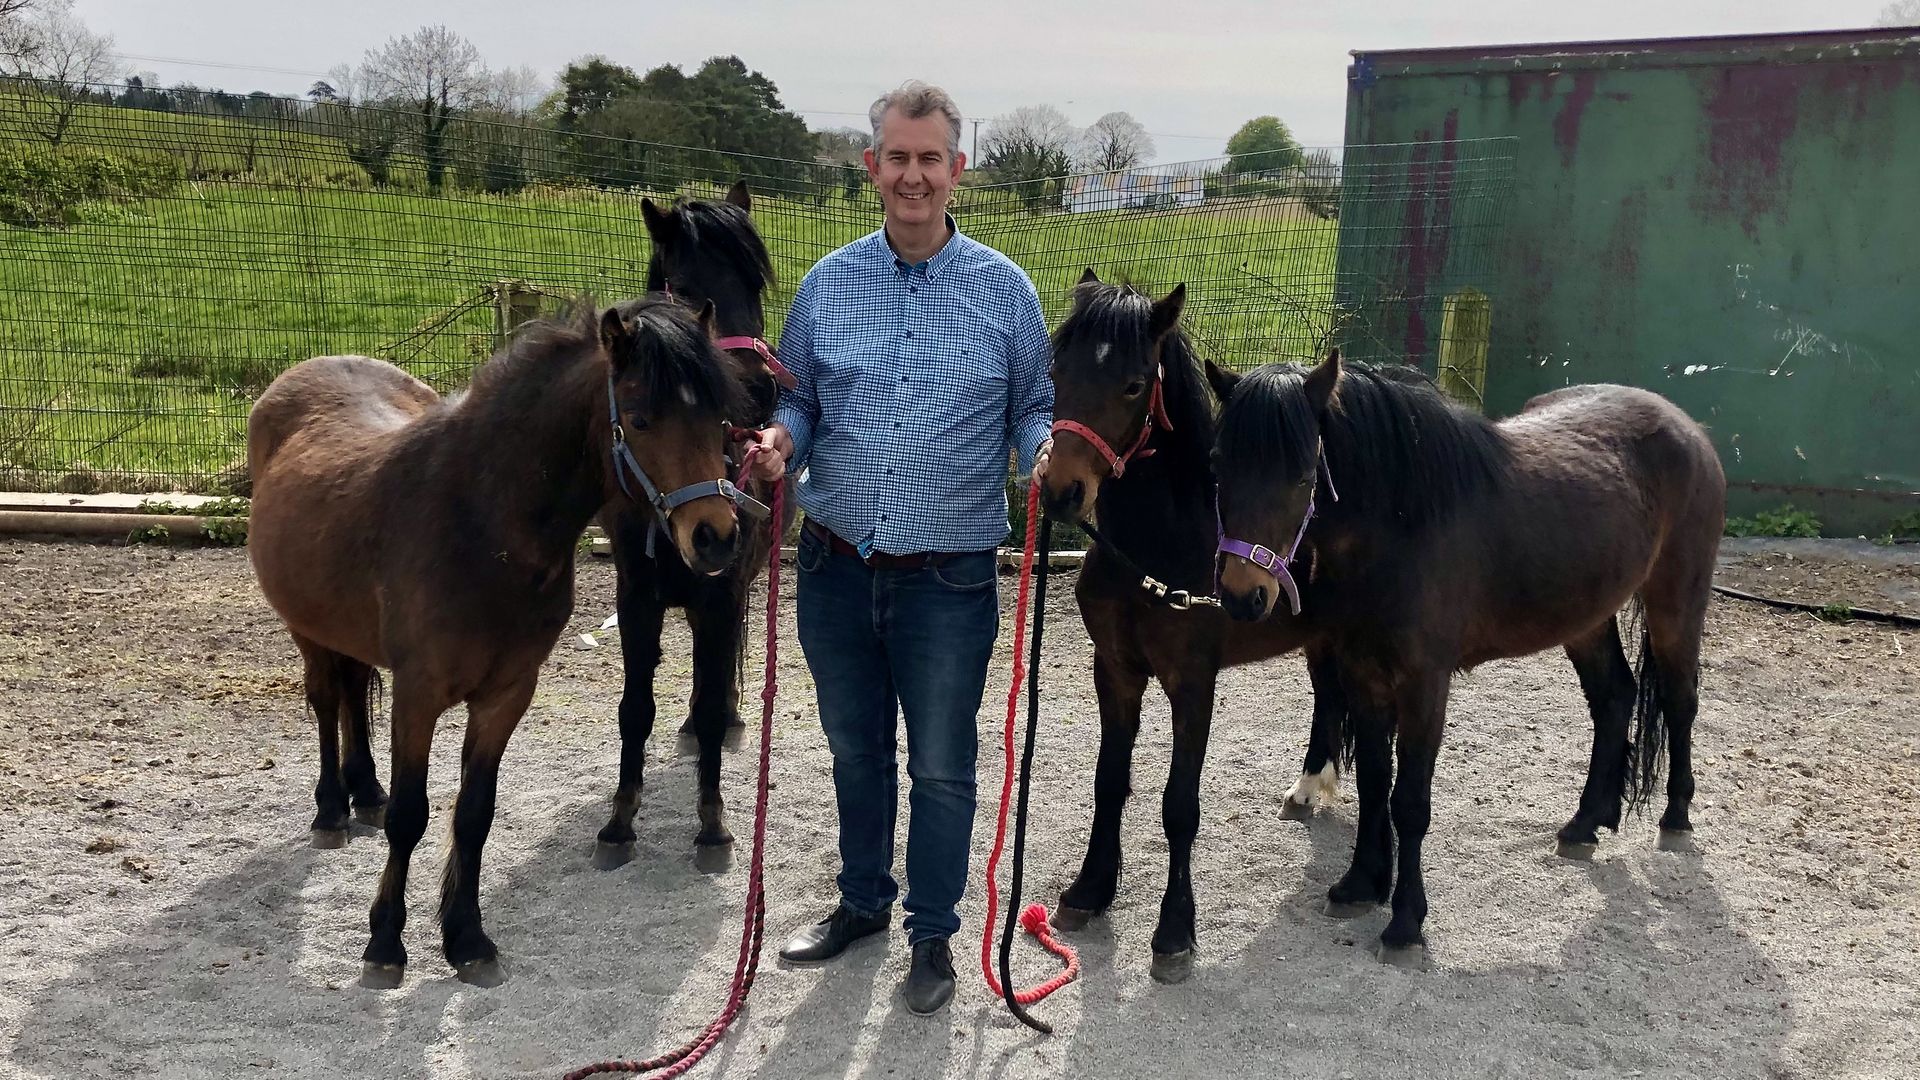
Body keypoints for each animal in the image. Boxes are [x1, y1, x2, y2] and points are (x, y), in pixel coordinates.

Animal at [253, 294, 756, 983]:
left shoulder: (506, 694)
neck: (482, 528)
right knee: (330, 699)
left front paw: (466, 937)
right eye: (641, 419)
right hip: (306, 627)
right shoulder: (419, 694)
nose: (716, 537)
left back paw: (364, 792)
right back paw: (333, 806)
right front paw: (386, 943)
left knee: (353, 693)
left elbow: (475, 814)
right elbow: (412, 817)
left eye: (720, 420)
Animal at [587, 178, 791, 864]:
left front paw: (712, 822)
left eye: (754, 284)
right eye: (680, 282)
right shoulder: (637, 598)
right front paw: (620, 820)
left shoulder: (722, 592)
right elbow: (634, 708)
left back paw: (725, 715)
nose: (756, 390)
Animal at [1036, 272, 1351, 980]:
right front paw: (1089, 890)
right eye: (1057, 368)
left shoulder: (1192, 683)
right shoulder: (1115, 671)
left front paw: (1175, 930)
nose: (1061, 492)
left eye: (1133, 384)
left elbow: (1180, 806)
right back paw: (1307, 786)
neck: (1155, 551)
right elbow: (1109, 781)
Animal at [1213, 353, 1728, 957]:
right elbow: (1373, 784)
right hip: (1585, 618)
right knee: (1614, 698)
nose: (1244, 595)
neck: (1402, 526)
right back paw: (1585, 825)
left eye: (1302, 473)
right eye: (1219, 464)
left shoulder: (1423, 684)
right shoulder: (1362, 677)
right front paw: (1361, 884)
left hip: (1676, 604)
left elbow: (1409, 801)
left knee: (1679, 701)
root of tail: (1687, 427)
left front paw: (1405, 923)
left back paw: (1675, 817)